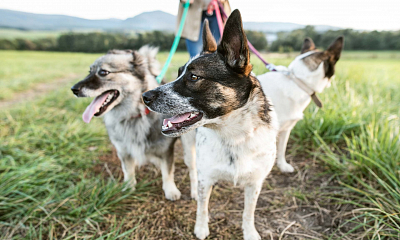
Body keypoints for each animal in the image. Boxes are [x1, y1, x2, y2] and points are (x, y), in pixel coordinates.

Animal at [71, 47, 198, 201]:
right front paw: (129, 187)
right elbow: (128, 169)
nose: (74, 89)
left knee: (192, 167)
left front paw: (170, 190)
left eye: (103, 72)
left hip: (188, 144)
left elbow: (167, 172)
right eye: (89, 71)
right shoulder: (123, 150)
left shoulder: (165, 150)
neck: (134, 115)